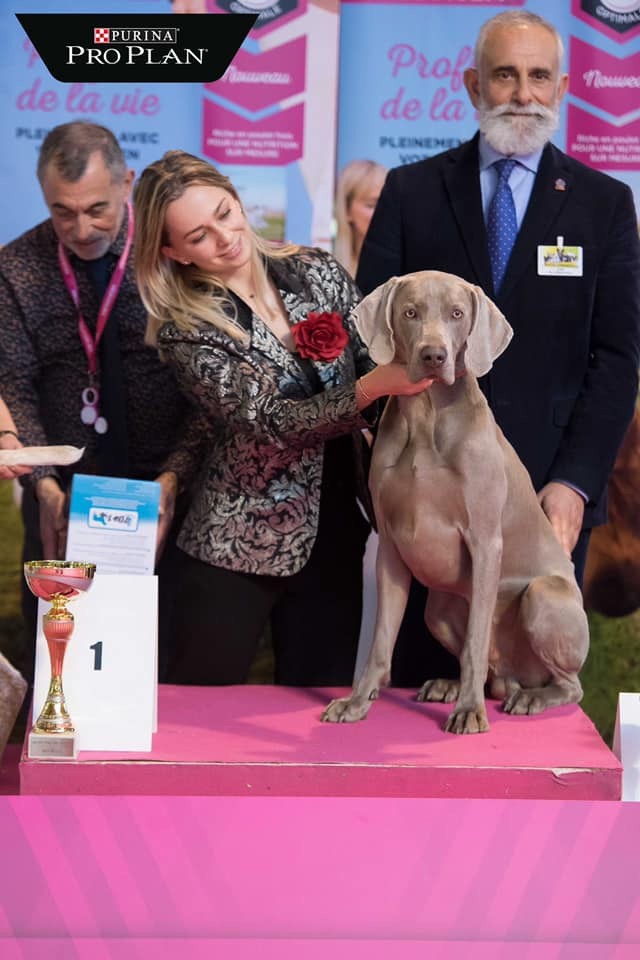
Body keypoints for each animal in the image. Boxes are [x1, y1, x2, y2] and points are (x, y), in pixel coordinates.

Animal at [324, 270, 592, 736]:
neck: (427, 416)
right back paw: (451, 686)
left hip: (544, 597)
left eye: (456, 314)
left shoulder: (485, 542)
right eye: (410, 312)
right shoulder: (391, 546)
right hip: (439, 608)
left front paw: (469, 712)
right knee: (494, 671)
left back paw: (530, 698)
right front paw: (357, 702)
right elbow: (381, 641)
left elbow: (474, 644)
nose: (434, 355)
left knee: (566, 684)